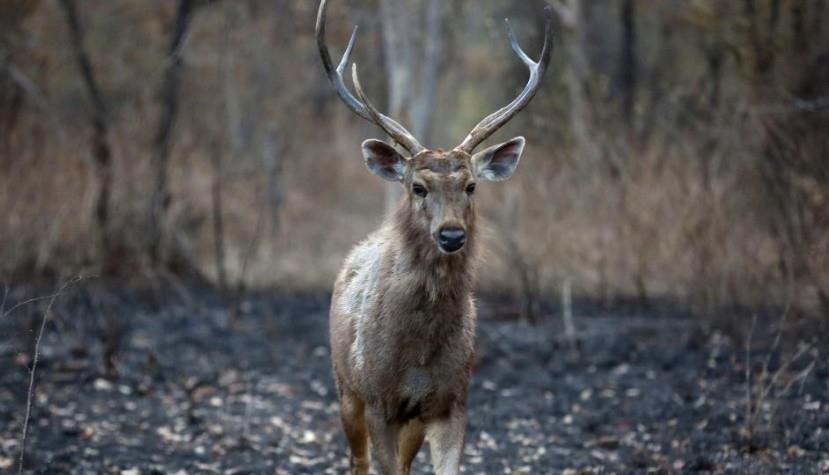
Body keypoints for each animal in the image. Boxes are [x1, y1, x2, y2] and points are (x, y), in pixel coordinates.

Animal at [316, 1, 548, 474]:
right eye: (418, 187)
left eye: (471, 186)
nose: (452, 234)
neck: (417, 355)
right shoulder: (378, 400)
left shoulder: (450, 401)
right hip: (345, 385)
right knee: (357, 461)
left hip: (411, 418)